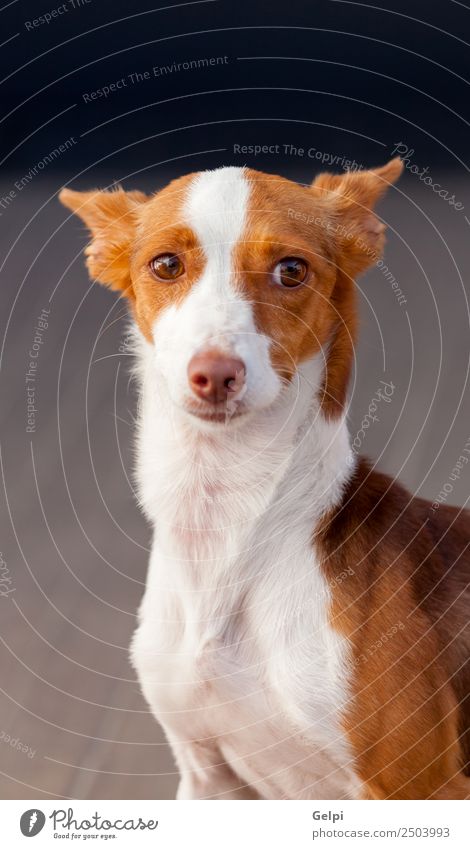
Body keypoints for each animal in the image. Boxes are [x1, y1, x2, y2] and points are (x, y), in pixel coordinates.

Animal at [60, 161, 470, 800]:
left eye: (292, 270)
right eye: (166, 265)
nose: (215, 374)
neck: (227, 532)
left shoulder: (421, 783)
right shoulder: (207, 777)